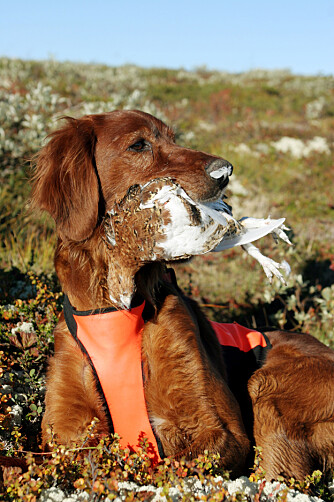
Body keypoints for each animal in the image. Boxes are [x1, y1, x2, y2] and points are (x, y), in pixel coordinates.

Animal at [32, 110, 334, 478]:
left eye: (174, 139)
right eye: (138, 144)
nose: (225, 172)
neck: (116, 309)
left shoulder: (220, 429)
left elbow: (171, 464)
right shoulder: (64, 427)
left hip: (268, 387)